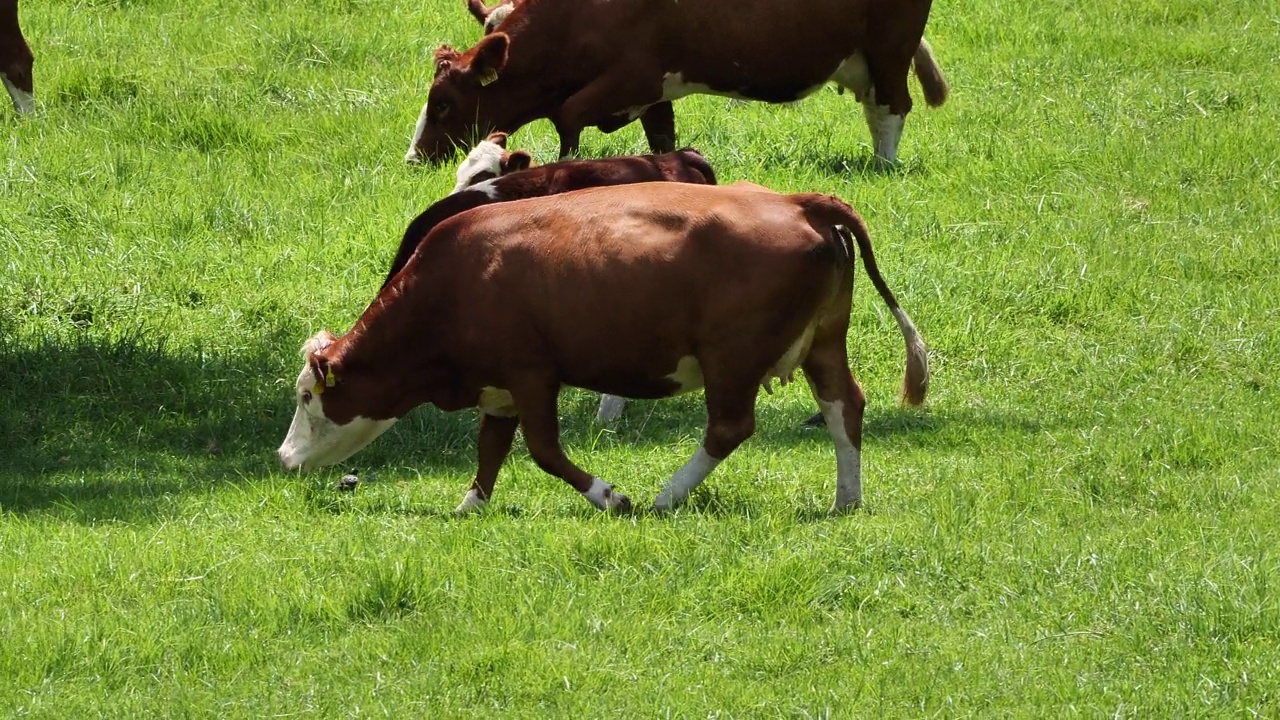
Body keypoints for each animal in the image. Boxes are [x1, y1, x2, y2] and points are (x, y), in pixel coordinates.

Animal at [277, 180, 931, 515]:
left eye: (309, 397)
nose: (284, 458)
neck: (456, 279)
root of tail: (798, 200)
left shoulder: (531, 373)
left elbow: (543, 451)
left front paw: (609, 495)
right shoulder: (498, 386)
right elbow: (490, 450)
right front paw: (470, 507)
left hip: (732, 356)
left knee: (729, 427)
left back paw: (667, 495)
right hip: (823, 342)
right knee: (844, 406)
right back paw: (846, 498)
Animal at [404, 0, 947, 165]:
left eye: (444, 102)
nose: (413, 158)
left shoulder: (634, 77)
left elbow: (569, 115)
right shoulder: (653, 93)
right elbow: (662, 137)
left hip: (889, 48)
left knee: (891, 107)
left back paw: (883, 164)